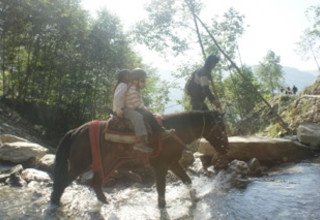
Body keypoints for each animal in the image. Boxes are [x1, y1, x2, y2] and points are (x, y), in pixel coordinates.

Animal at [50, 110, 229, 208]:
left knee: (95, 184)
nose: (226, 148)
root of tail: (76, 131)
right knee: (62, 183)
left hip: (103, 164)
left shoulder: (173, 163)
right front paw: (162, 206)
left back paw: (105, 202)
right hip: (79, 165)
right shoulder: (161, 166)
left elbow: (187, 180)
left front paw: (194, 197)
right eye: (221, 128)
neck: (172, 133)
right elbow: (161, 189)